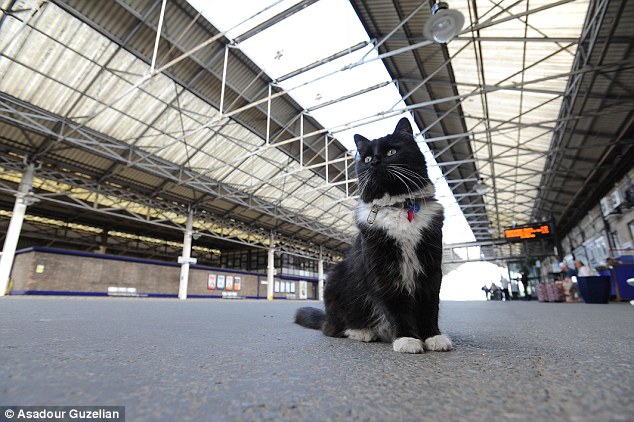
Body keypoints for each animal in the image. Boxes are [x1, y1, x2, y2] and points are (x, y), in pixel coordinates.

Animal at [294, 117, 452, 354]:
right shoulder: (382, 266)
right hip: (335, 278)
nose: (375, 162)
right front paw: (407, 339)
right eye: (366, 158)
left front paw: (433, 336)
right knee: (333, 328)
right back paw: (362, 332)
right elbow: (397, 304)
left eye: (391, 151)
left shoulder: (430, 264)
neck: (398, 207)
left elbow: (430, 304)